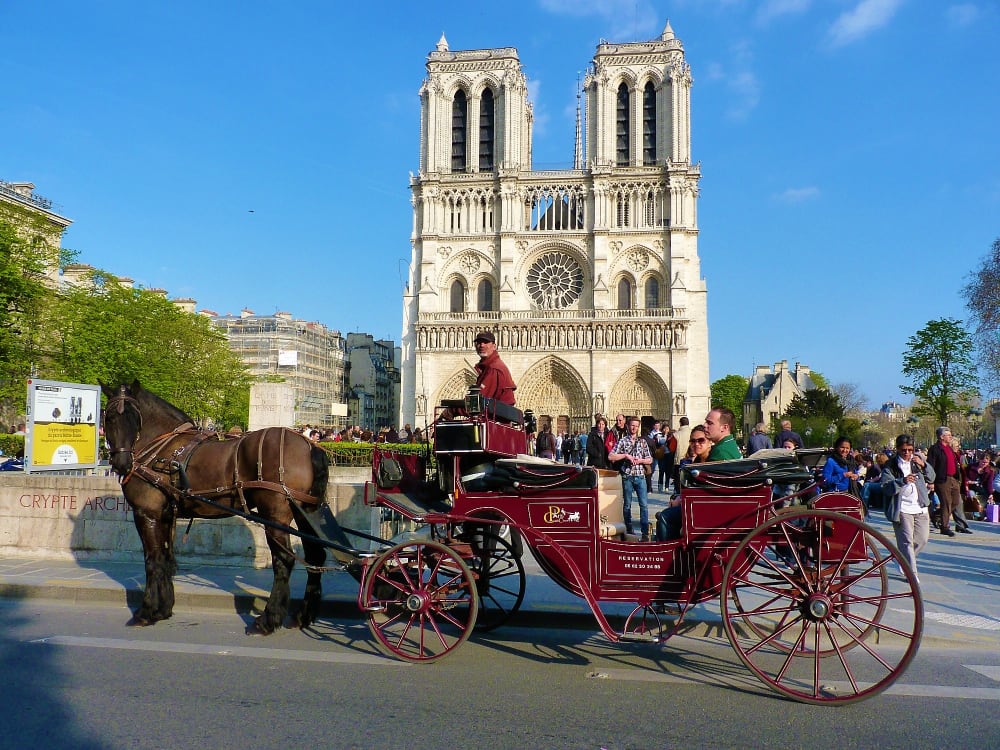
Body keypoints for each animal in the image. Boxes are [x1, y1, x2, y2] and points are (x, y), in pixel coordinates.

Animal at [104, 382, 332, 636]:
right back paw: (303, 615)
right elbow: (165, 559)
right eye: (110, 418)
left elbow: (152, 560)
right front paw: (163, 608)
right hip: (306, 512)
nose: (122, 463)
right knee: (315, 555)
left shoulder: (147, 513)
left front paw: (147, 611)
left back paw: (268, 619)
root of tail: (309, 446)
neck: (161, 448)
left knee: (284, 560)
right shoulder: (165, 515)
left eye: (135, 418)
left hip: (275, 515)